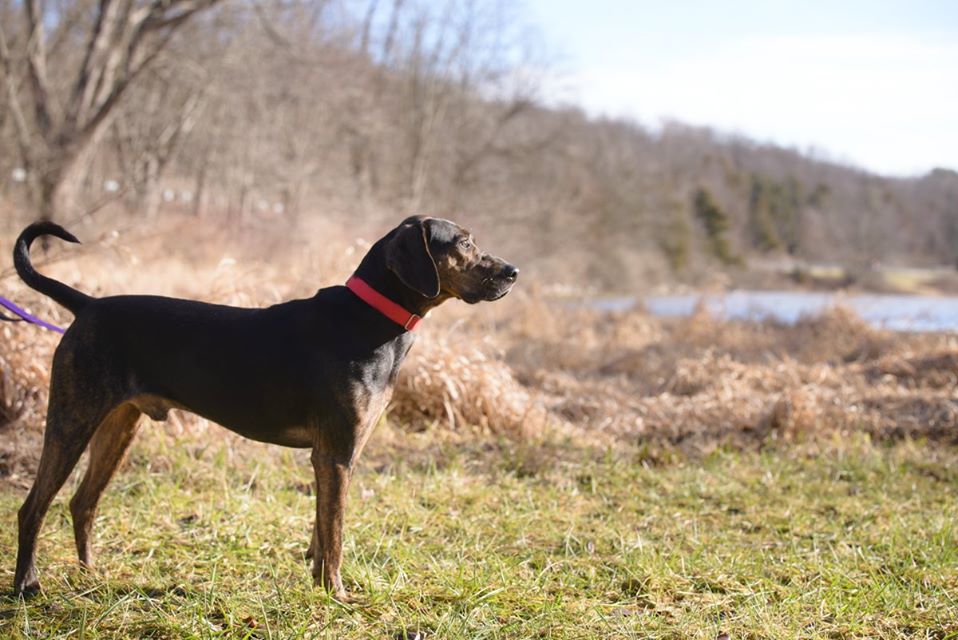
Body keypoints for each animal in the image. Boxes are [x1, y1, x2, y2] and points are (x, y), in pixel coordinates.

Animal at [12, 215, 517, 599]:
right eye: (464, 242)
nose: (513, 272)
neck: (370, 320)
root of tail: (88, 306)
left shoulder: (337, 456)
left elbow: (322, 530)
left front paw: (318, 584)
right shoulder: (336, 454)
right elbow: (335, 534)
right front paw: (337, 594)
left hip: (119, 426)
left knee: (82, 503)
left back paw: (90, 574)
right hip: (71, 419)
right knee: (33, 507)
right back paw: (27, 585)